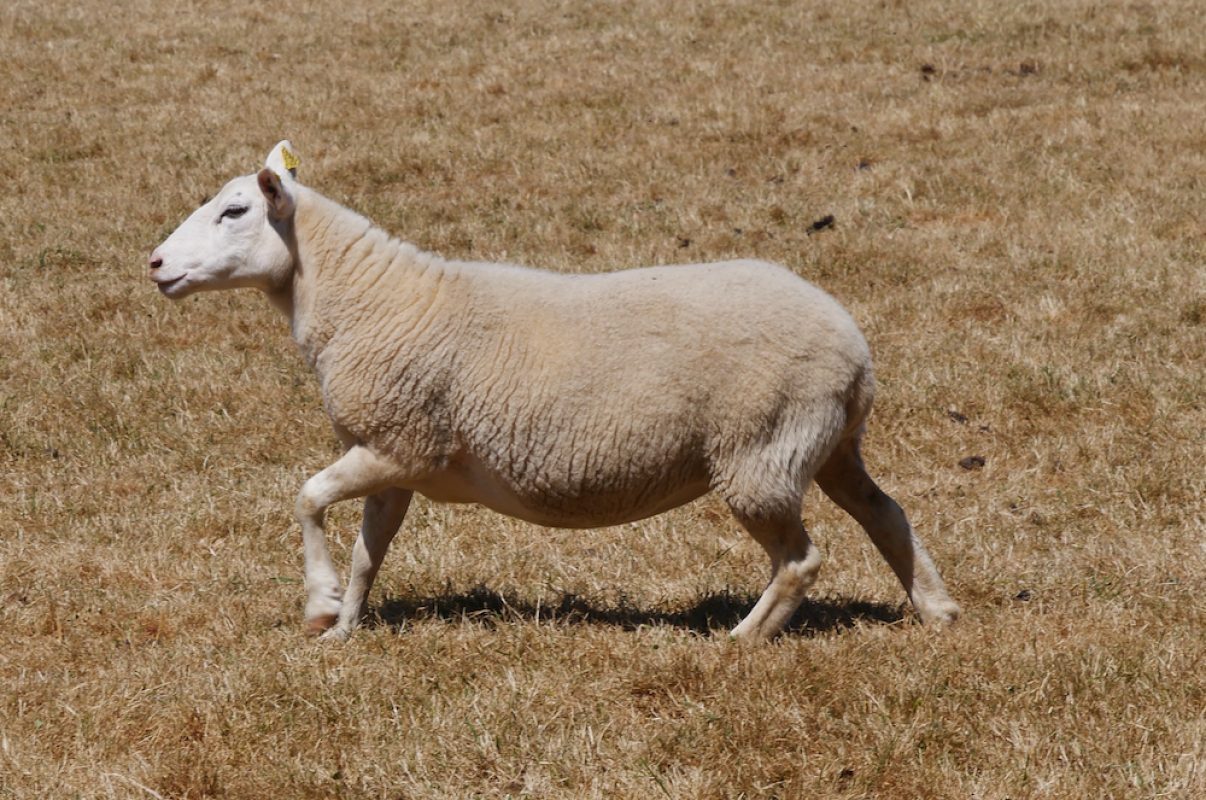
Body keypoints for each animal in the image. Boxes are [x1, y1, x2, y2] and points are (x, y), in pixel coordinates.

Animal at [148, 141, 962, 641]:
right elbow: (365, 553)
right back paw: (937, 609)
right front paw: (344, 624)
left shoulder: (401, 441)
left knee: (800, 559)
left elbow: (307, 498)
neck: (368, 294)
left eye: (234, 211)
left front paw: (316, 606)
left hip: (758, 451)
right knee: (884, 513)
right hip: (821, 444)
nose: (155, 263)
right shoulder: (394, 458)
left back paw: (741, 638)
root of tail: (854, 347)